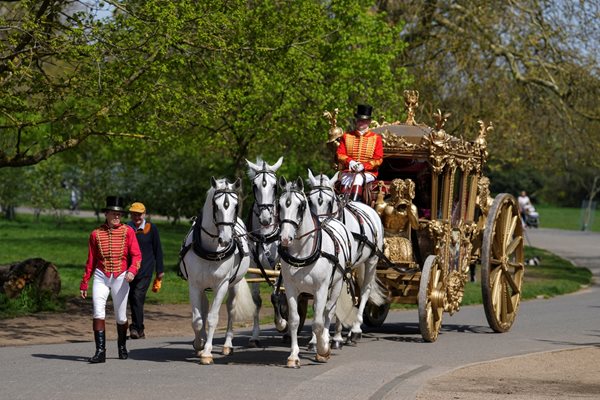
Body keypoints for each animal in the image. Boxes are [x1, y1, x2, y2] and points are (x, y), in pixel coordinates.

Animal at [177, 177, 254, 364]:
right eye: (216, 206)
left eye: (235, 205)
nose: (225, 239)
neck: (211, 249)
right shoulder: (194, 285)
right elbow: (197, 319)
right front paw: (199, 343)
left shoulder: (221, 285)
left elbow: (213, 318)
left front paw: (207, 352)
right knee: (204, 308)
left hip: (234, 284)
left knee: (231, 310)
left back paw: (227, 345)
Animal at [278, 177, 356, 368]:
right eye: (280, 205)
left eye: (301, 206)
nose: (285, 239)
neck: (302, 252)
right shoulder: (291, 288)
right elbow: (294, 320)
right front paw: (293, 356)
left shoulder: (321, 288)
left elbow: (319, 322)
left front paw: (323, 349)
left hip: (336, 284)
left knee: (329, 311)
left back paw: (329, 340)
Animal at [308, 169, 386, 346]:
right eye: (310, 201)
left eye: (330, 201)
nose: (320, 226)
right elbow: (319, 303)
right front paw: (317, 338)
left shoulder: (341, 269)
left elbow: (335, 302)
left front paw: (335, 336)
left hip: (371, 261)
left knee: (364, 291)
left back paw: (355, 330)